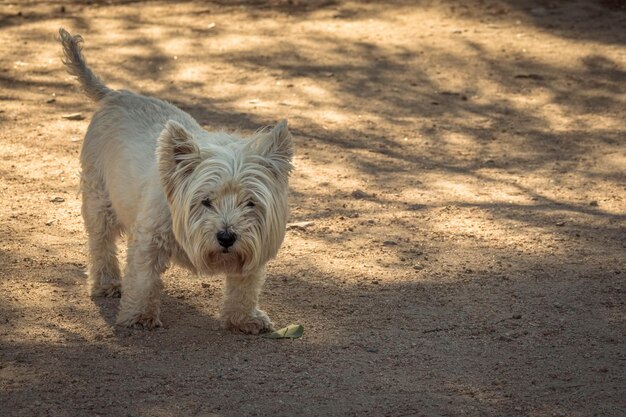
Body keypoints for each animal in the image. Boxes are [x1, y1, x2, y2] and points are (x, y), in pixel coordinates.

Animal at [58, 27, 292, 334]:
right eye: (205, 201)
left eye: (250, 203)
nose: (226, 237)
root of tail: (116, 95)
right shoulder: (149, 236)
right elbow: (144, 278)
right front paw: (139, 316)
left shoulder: (255, 245)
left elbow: (245, 285)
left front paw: (244, 319)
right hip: (99, 197)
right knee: (101, 243)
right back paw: (107, 283)